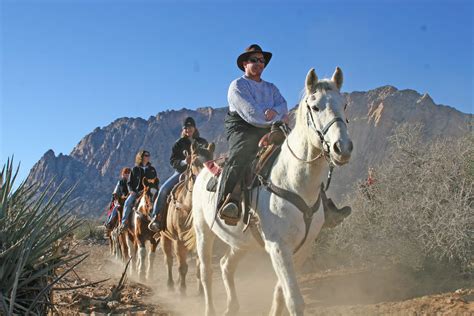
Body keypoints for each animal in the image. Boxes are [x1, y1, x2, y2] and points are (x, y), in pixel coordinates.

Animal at [160, 141, 216, 294]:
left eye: (212, 161)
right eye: (195, 161)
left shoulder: (199, 238)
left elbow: (198, 267)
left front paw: (201, 292)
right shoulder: (179, 240)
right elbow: (182, 267)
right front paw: (182, 291)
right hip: (164, 237)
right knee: (169, 260)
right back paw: (170, 284)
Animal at [192, 67, 352, 316]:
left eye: (343, 105)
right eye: (315, 106)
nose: (342, 148)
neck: (294, 182)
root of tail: (201, 171)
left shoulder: (302, 248)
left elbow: (280, 293)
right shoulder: (278, 247)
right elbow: (294, 299)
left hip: (240, 241)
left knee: (226, 265)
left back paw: (232, 306)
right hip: (203, 232)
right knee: (206, 272)